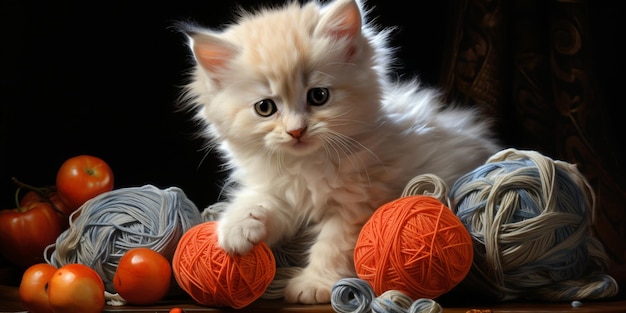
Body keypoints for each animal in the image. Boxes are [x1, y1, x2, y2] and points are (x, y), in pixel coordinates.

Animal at [178, 0, 500, 304]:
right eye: (265, 108)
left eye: (318, 96)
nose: (296, 131)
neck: (306, 165)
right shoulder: (279, 190)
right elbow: (257, 201)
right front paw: (236, 230)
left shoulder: (358, 203)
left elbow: (333, 245)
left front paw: (313, 285)